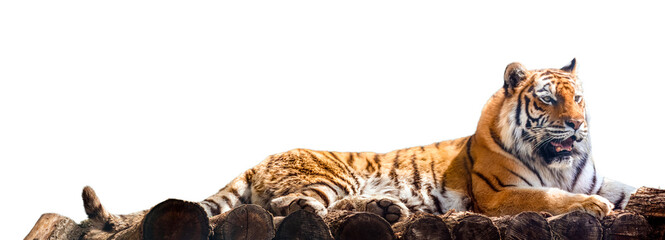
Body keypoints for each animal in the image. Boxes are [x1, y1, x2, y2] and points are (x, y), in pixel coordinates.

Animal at [83, 59, 632, 228]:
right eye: (548, 100)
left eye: (580, 99)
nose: (578, 127)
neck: (558, 161)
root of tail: (262, 157)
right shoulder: (499, 195)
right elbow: (551, 197)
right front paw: (593, 208)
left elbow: (627, 188)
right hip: (332, 178)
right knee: (293, 208)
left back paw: (390, 209)